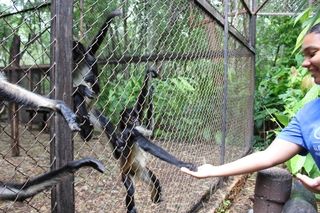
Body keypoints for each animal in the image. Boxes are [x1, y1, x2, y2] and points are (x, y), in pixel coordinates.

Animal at [88, 68, 198, 213]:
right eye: (128, 117)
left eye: (134, 116)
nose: (134, 120)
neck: (130, 127)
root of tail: (134, 172)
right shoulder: (130, 131)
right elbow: (144, 144)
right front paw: (184, 164)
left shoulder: (136, 126)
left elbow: (147, 124)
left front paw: (149, 82)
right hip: (126, 174)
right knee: (130, 190)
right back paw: (132, 207)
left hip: (142, 171)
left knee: (155, 181)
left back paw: (156, 199)